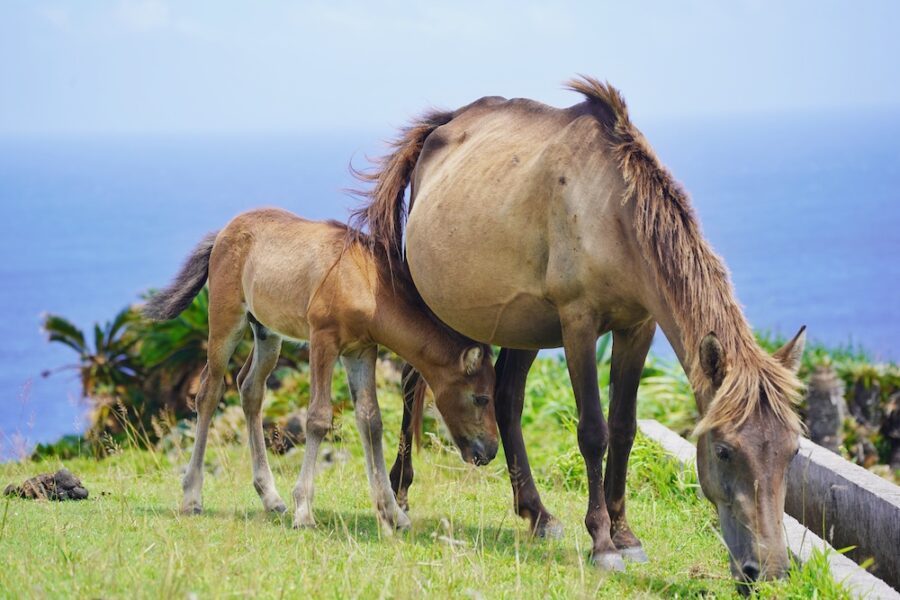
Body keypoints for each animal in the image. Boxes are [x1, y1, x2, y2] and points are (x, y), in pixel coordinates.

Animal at [144, 208, 498, 531]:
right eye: (481, 398)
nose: (491, 451)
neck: (365, 282)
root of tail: (224, 231)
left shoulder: (361, 350)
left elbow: (371, 421)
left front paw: (393, 513)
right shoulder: (323, 340)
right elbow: (317, 418)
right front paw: (304, 511)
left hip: (266, 332)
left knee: (250, 389)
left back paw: (270, 497)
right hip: (226, 318)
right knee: (209, 391)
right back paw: (192, 497)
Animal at [353, 76, 806, 583]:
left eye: (792, 452)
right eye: (725, 451)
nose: (768, 570)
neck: (613, 211)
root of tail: (442, 125)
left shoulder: (638, 327)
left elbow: (624, 428)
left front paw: (626, 535)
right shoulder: (579, 325)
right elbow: (594, 431)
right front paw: (604, 543)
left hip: (521, 326)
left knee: (507, 400)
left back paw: (536, 514)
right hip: (435, 305)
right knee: (414, 382)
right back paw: (400, 492)